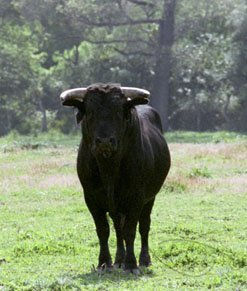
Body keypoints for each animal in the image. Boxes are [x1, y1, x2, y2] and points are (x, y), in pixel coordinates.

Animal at [60, 83, 171, 274]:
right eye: (90, 111)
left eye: (118, 111)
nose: (104, 141)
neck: (109, 168)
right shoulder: (91, 198)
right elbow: (103, 230)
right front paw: (104, 262)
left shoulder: (136, 197)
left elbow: (131, 230)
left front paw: (131, 264)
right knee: (118, 228)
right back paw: (119, 259)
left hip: (150, 198)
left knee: (144, 226)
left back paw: (144, 259)